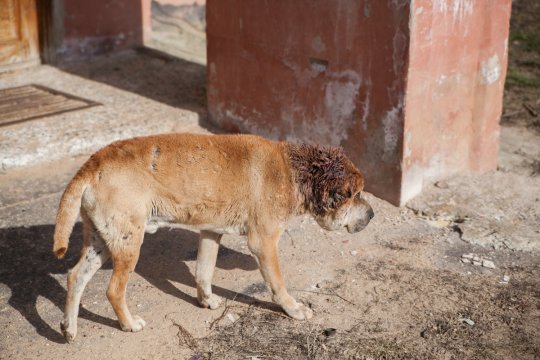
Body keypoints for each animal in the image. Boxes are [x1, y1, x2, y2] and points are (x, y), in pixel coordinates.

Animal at [52, 134, 374, 342]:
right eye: (357, 194)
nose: (372, 215)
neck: (294, 171)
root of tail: (92, 163)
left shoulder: (210, 232)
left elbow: (204, 272)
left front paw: (206, 300)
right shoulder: (264, 242)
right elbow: (278, 285)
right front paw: (293, 309)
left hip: (102, 241)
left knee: (75, 277)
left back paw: (69, 328)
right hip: (128, 243)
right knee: (114, 291)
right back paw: (129, 324)